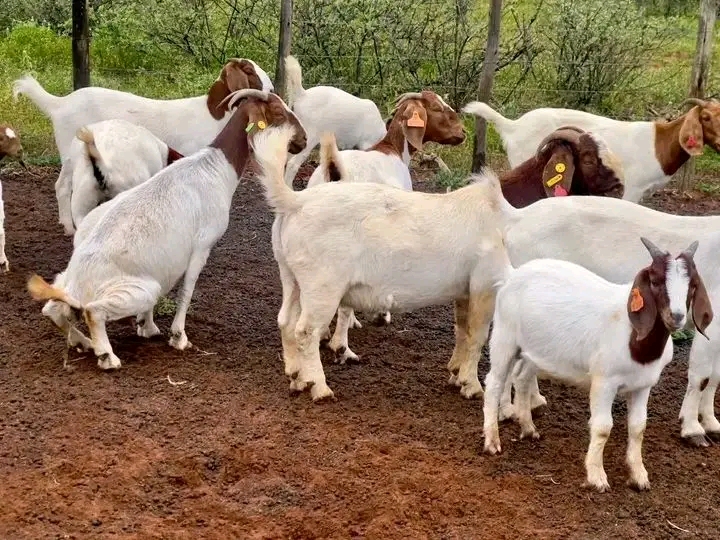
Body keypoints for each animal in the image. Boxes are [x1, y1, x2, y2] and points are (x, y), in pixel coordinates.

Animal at [13, 58, 272, 233]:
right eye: (249, 71)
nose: (272, 90)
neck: (211, 115)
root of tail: (60, 104)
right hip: (70, 153)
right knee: (62, 186)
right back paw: (68, 226)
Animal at [27, 89, 307, 369]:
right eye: (279, 112)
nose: (303, 140)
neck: (214, 168)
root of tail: (78, 284)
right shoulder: (202, 245)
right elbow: (187, 289)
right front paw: (179, 337)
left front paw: (146, 326)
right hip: (137, 290)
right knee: (93, 310)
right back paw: (107, 356)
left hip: (69, 275)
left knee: (51, 310)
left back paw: (84, 342)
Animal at [483, 238, 712, 492]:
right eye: (655, 281)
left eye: (693, 285)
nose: (677, 316)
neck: (634, 338)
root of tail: (513, 274)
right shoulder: (604, 382)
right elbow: (602, 427)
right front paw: (597, 477)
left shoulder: (643, 386)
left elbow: (638, 427)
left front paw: (639, 475)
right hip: (504, 336)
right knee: (494, 382)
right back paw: (492, 442)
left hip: (535, 350)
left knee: (521, 377)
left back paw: (528, 428)